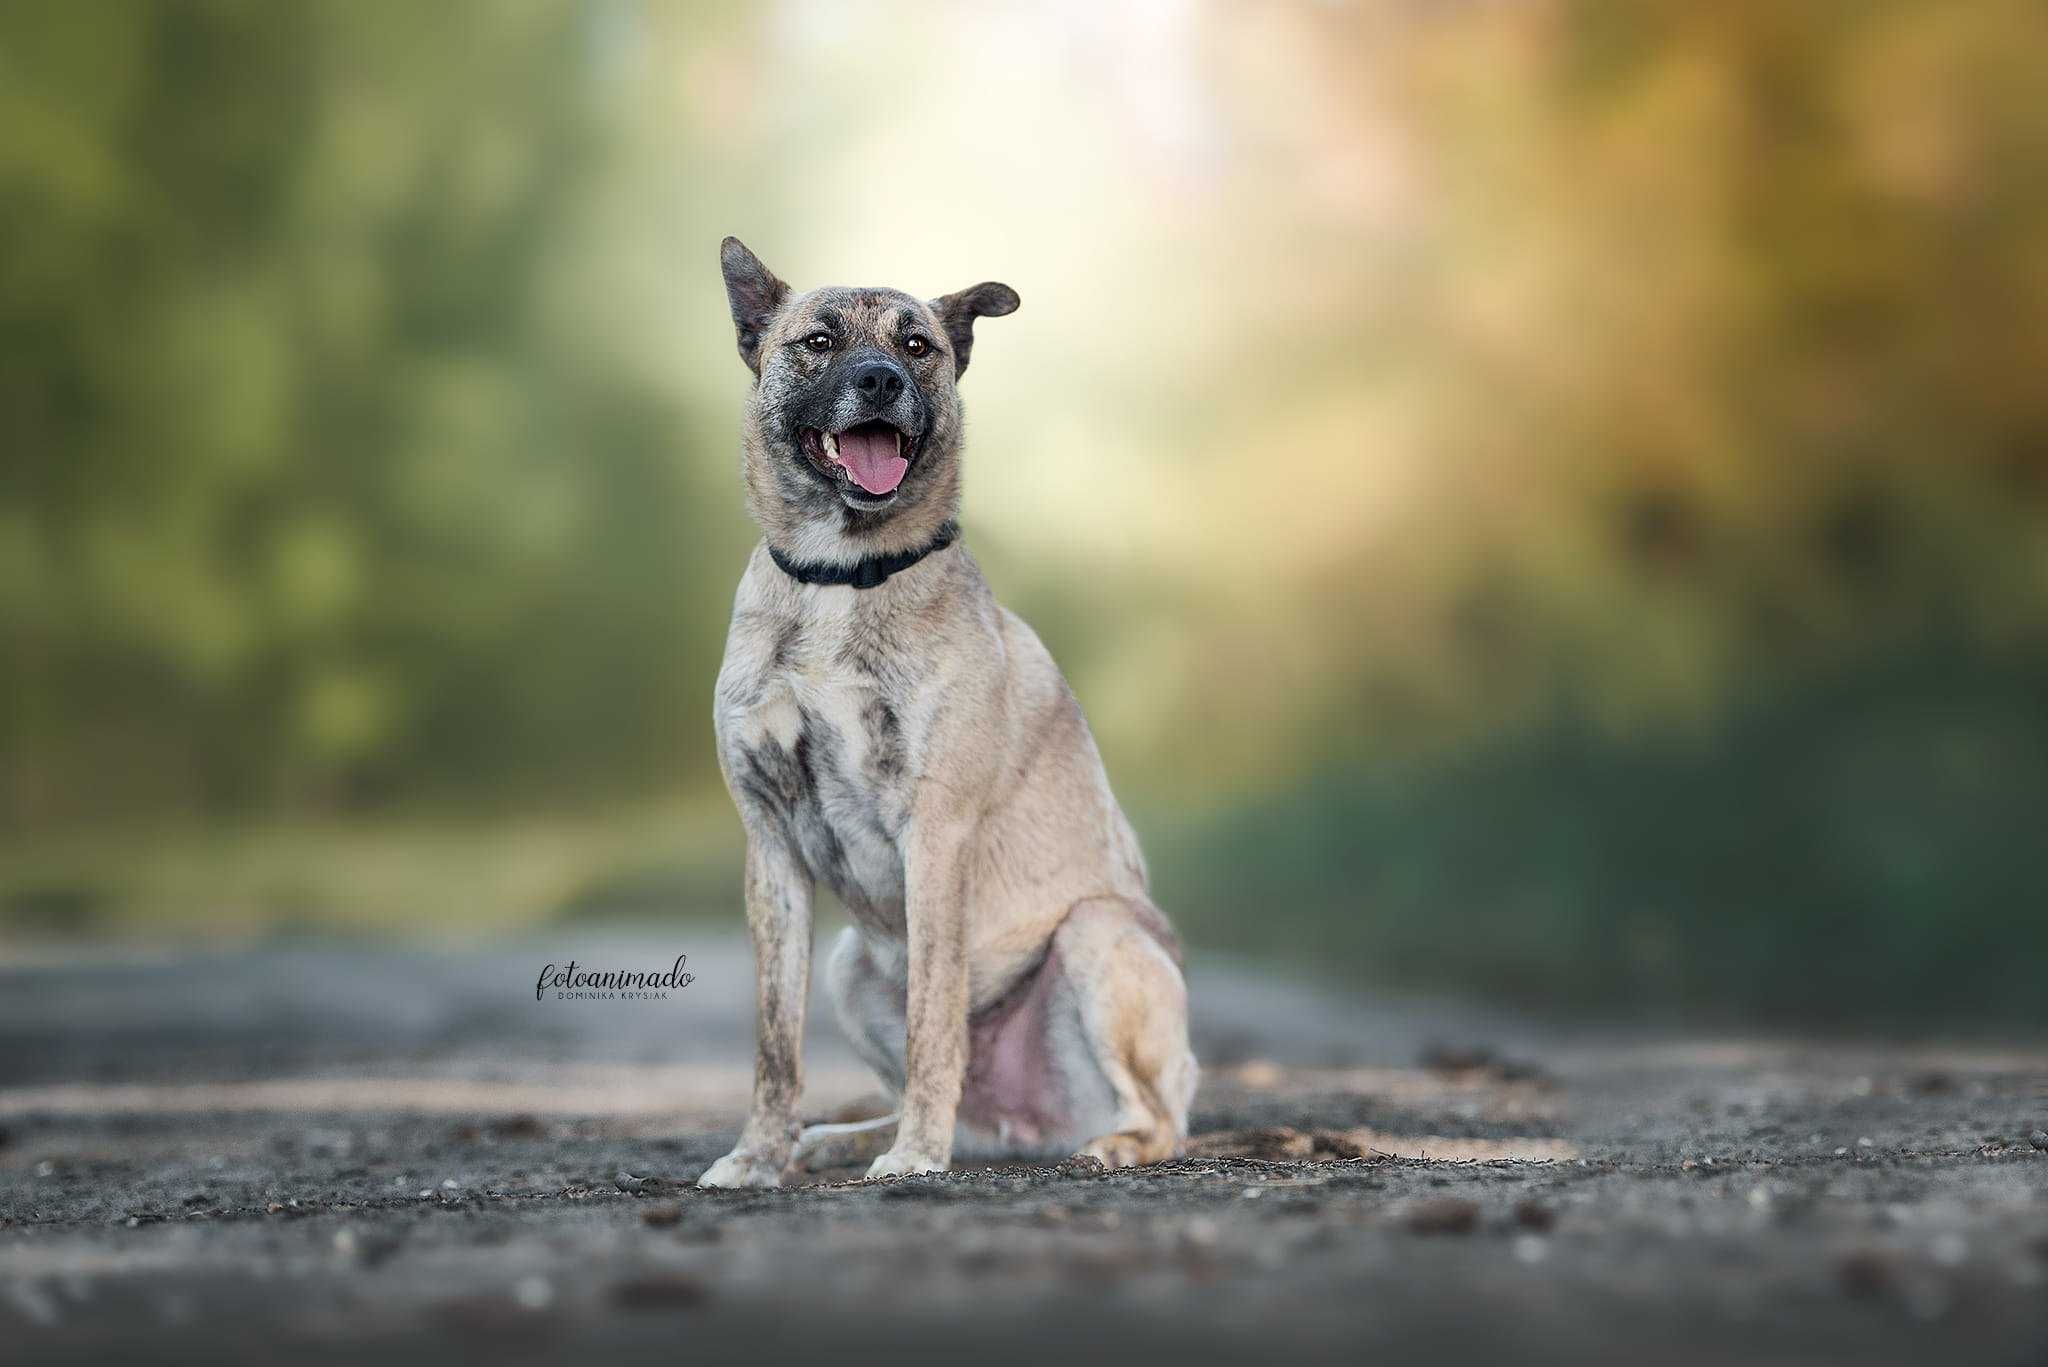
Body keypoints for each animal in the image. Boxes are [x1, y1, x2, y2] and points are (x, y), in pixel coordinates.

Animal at [696, 237, 1196, 1188]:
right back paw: (842, 1138)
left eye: (918, 344)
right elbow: (775, 1044)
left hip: (1097, 936)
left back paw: (1101, 1143)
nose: (882, 379)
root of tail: (1019, 1123)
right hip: (851, 965)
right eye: (818, 340)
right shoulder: (769, 844)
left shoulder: (935, 832)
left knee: (1161, 1117)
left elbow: (934, 1017)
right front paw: (758, 1153)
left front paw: (917, 1156)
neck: (841, 578)